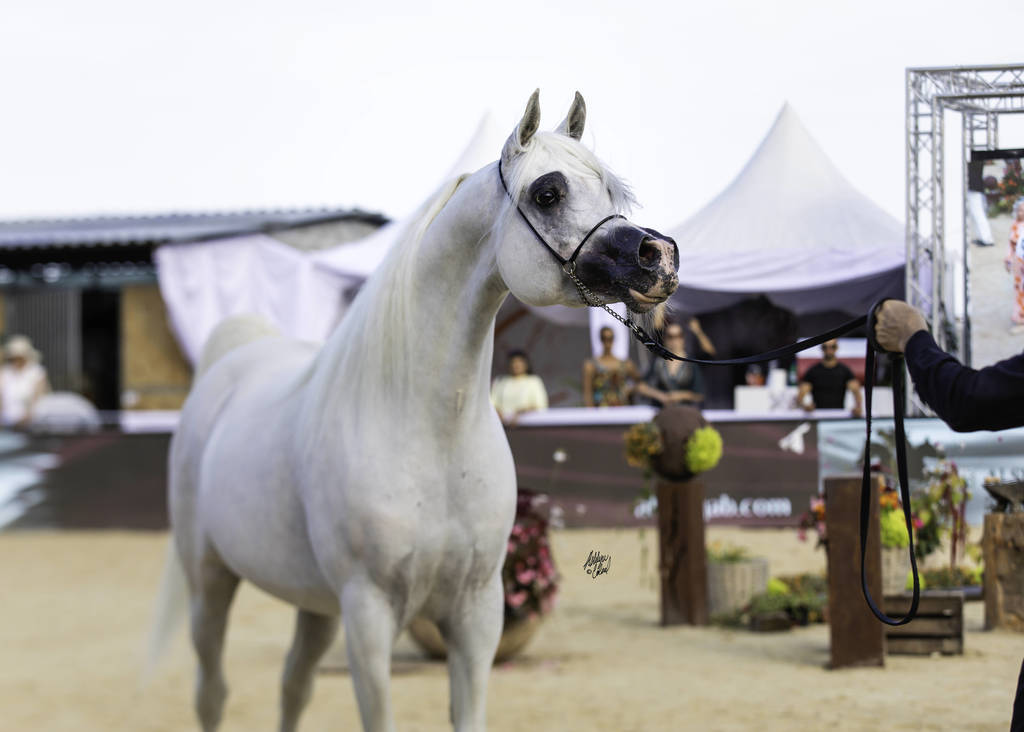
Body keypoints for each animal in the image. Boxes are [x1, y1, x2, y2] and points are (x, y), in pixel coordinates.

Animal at [155, 89, 679, 732]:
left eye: (609, 190)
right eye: (548, 193)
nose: (659, 256)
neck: (431, 433)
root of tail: (233, 361)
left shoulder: (478, 611)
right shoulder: (369, 614)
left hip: (315, 604)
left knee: (293, 686)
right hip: (210, 583)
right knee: (212, 691)